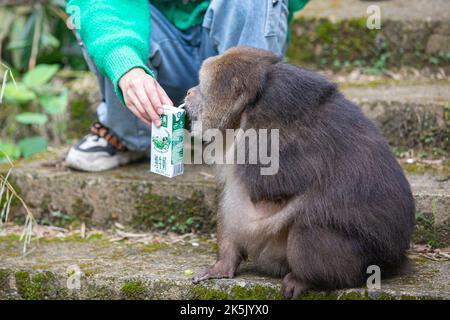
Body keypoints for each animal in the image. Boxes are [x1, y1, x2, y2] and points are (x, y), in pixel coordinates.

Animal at [182, 46, 414, 298]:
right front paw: (225, 261)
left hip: (363, 259)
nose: (188, 91)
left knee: (310, 224)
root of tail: (395, 260)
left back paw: (307, 279)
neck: (246, 111)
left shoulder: (266, 133)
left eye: (202, 86)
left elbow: (267, 194)